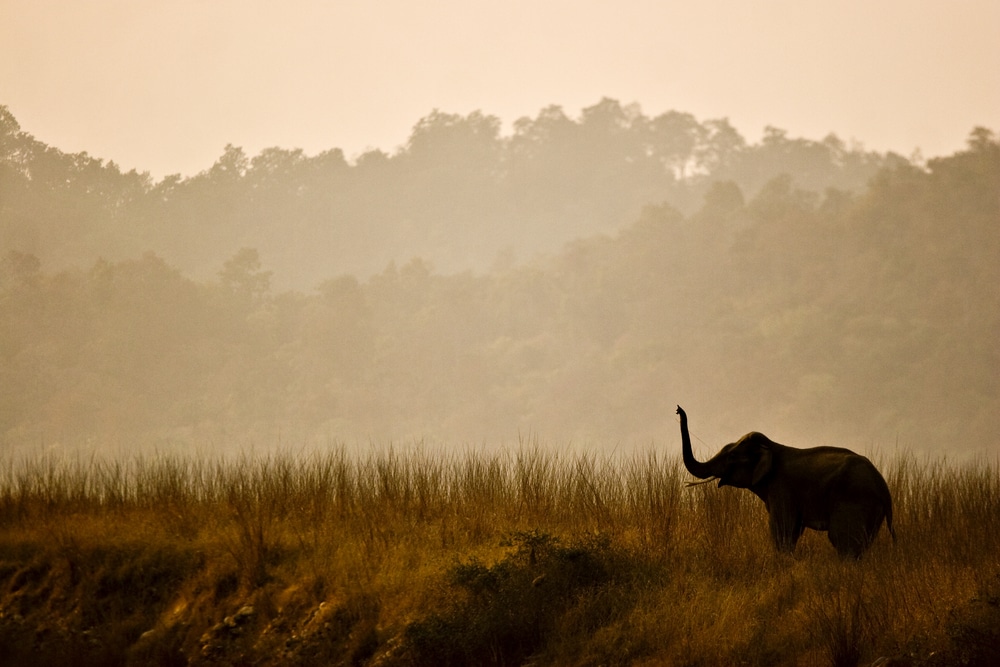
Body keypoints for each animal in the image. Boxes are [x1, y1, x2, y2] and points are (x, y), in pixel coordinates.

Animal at [676, 405, 895, 557]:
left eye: (731, 457)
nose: (679, 410)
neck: (771, 447)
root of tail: (884, 487)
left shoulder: (781, 487)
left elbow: (782, 528)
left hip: (856, 500)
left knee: (842, 540)